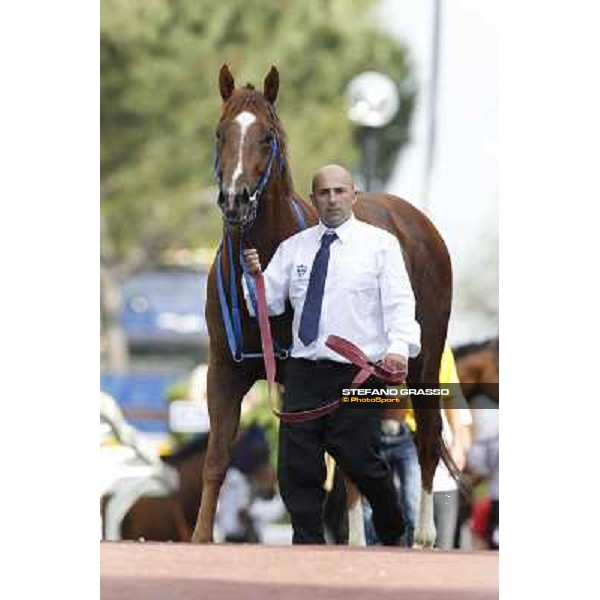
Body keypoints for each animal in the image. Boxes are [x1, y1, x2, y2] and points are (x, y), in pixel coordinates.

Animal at [190, 67, 452, 548]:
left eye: (267, 136)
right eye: (220, 133)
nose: (235, 199)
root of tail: (419, 222)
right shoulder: (224, 369)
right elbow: (217, 457)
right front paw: (201, 537)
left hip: (424, 358)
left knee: (425, 438)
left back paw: (420, 535)